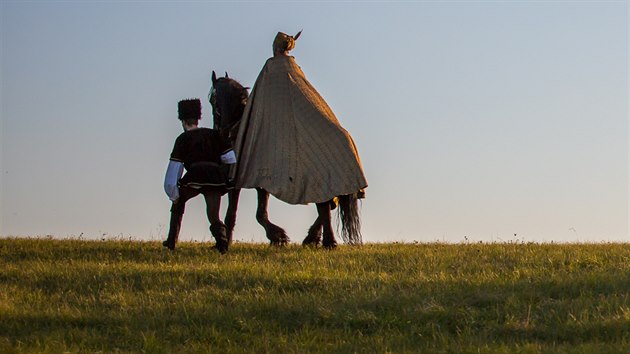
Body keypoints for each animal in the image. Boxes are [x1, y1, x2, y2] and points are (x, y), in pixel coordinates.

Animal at [210, 71, 362, 249]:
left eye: (212, 99)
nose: (221, 132)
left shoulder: (238, 180)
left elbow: (238, 214)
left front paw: (277, 236)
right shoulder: (259, 182)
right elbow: (258, 212)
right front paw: (277, 237)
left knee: (325, 206)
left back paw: (325, 241)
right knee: (330, 205)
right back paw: (313, 238)